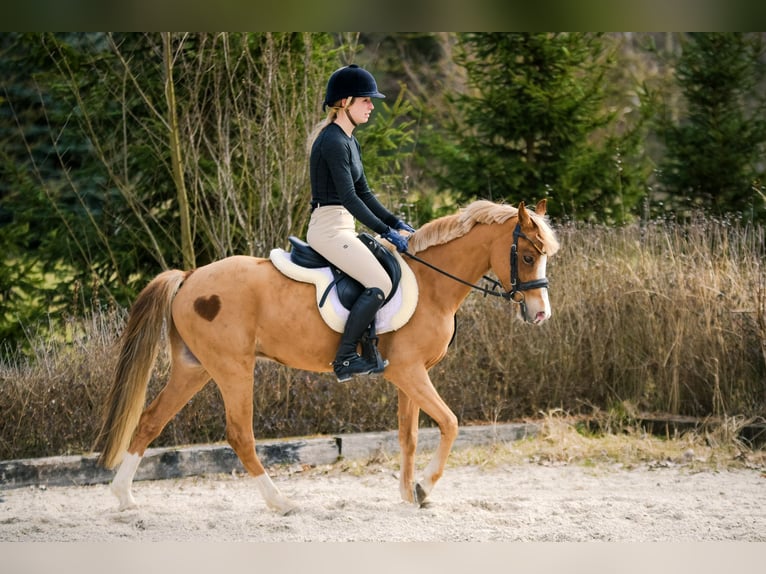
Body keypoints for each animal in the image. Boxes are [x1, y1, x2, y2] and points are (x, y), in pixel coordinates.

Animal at [94, 199, 559, 514]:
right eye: (527, 255)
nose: (540, 314)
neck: (431, 284)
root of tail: (189, 277)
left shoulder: (409, 376)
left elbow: (409, 435)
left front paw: (408, 493)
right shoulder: (408, 372)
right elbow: (449, 423)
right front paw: (425, 488)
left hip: (194, 369)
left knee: (150, 420)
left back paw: (124, 496)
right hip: (232, 369)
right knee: (240, 435)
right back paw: (280, 502)